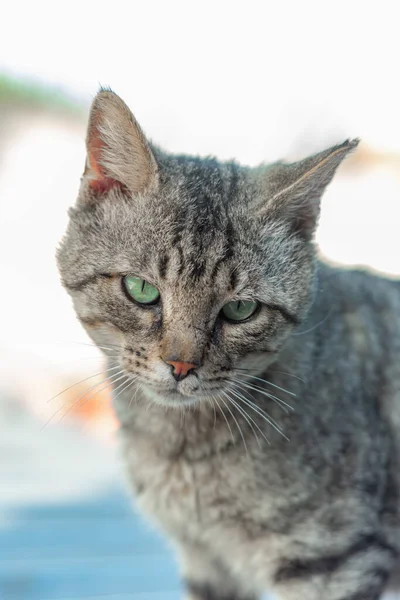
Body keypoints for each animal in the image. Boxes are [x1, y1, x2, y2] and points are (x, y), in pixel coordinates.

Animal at [56, 90, 400, 600]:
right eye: (141, 289)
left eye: (240, 310)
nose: (181, 365)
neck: (181, 447)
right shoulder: (210, 563)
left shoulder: (331, 560)